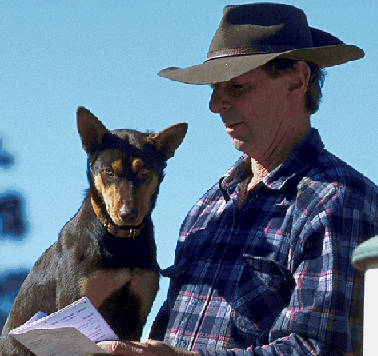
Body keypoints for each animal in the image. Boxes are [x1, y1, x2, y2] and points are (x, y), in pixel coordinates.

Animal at [0, 107, 189, 354]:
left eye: (145, 171)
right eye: (109, 171)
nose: (129, 214)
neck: (122, 240)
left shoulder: (138, 311)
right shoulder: (77, 301)